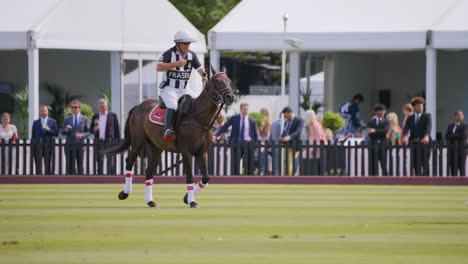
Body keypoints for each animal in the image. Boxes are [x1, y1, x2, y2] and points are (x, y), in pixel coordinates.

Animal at [103, 68, 233, 208]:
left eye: (229, 80)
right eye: (218, 81)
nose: (230, 97)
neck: (199, 119)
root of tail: (138, 106)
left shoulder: (201, 152)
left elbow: (206, 177)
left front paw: (186, 198)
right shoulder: (186, 152)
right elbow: (189, 176)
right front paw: (192, 201)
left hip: (156, 147)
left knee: (149, 170)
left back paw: (150, 201)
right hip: (138, 141)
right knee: (129, 161)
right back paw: (125, 193)